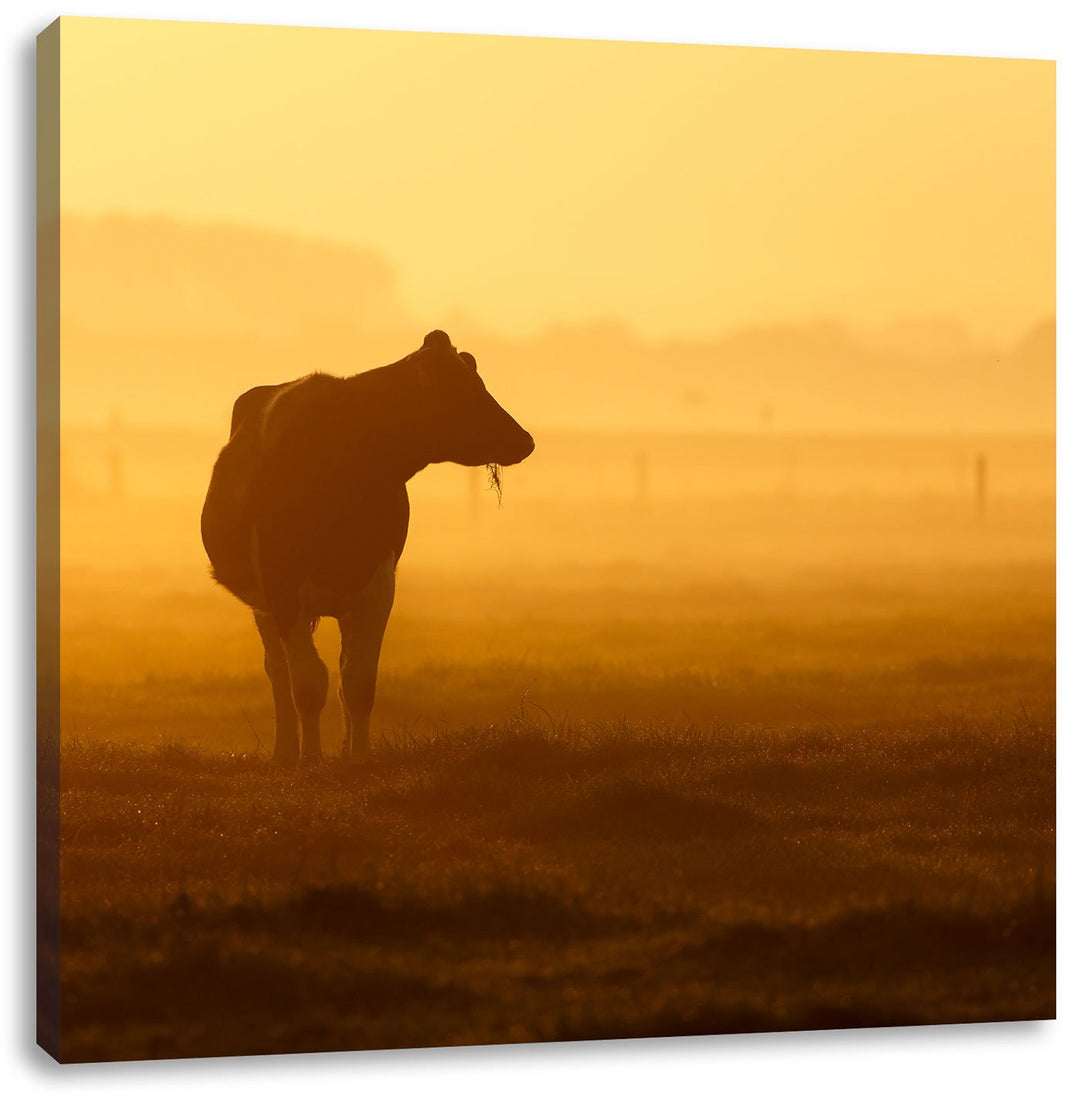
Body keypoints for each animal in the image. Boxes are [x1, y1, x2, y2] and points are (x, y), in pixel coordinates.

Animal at [200, 330, 534, 767]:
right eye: (461, 389)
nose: (524, 440)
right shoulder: (282, 587)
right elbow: (307, 683)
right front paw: (311, 759)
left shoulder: (378, 584)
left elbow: (358, 682)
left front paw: (357, 758)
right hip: (264, 606)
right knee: (278, 672)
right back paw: (286, 750)